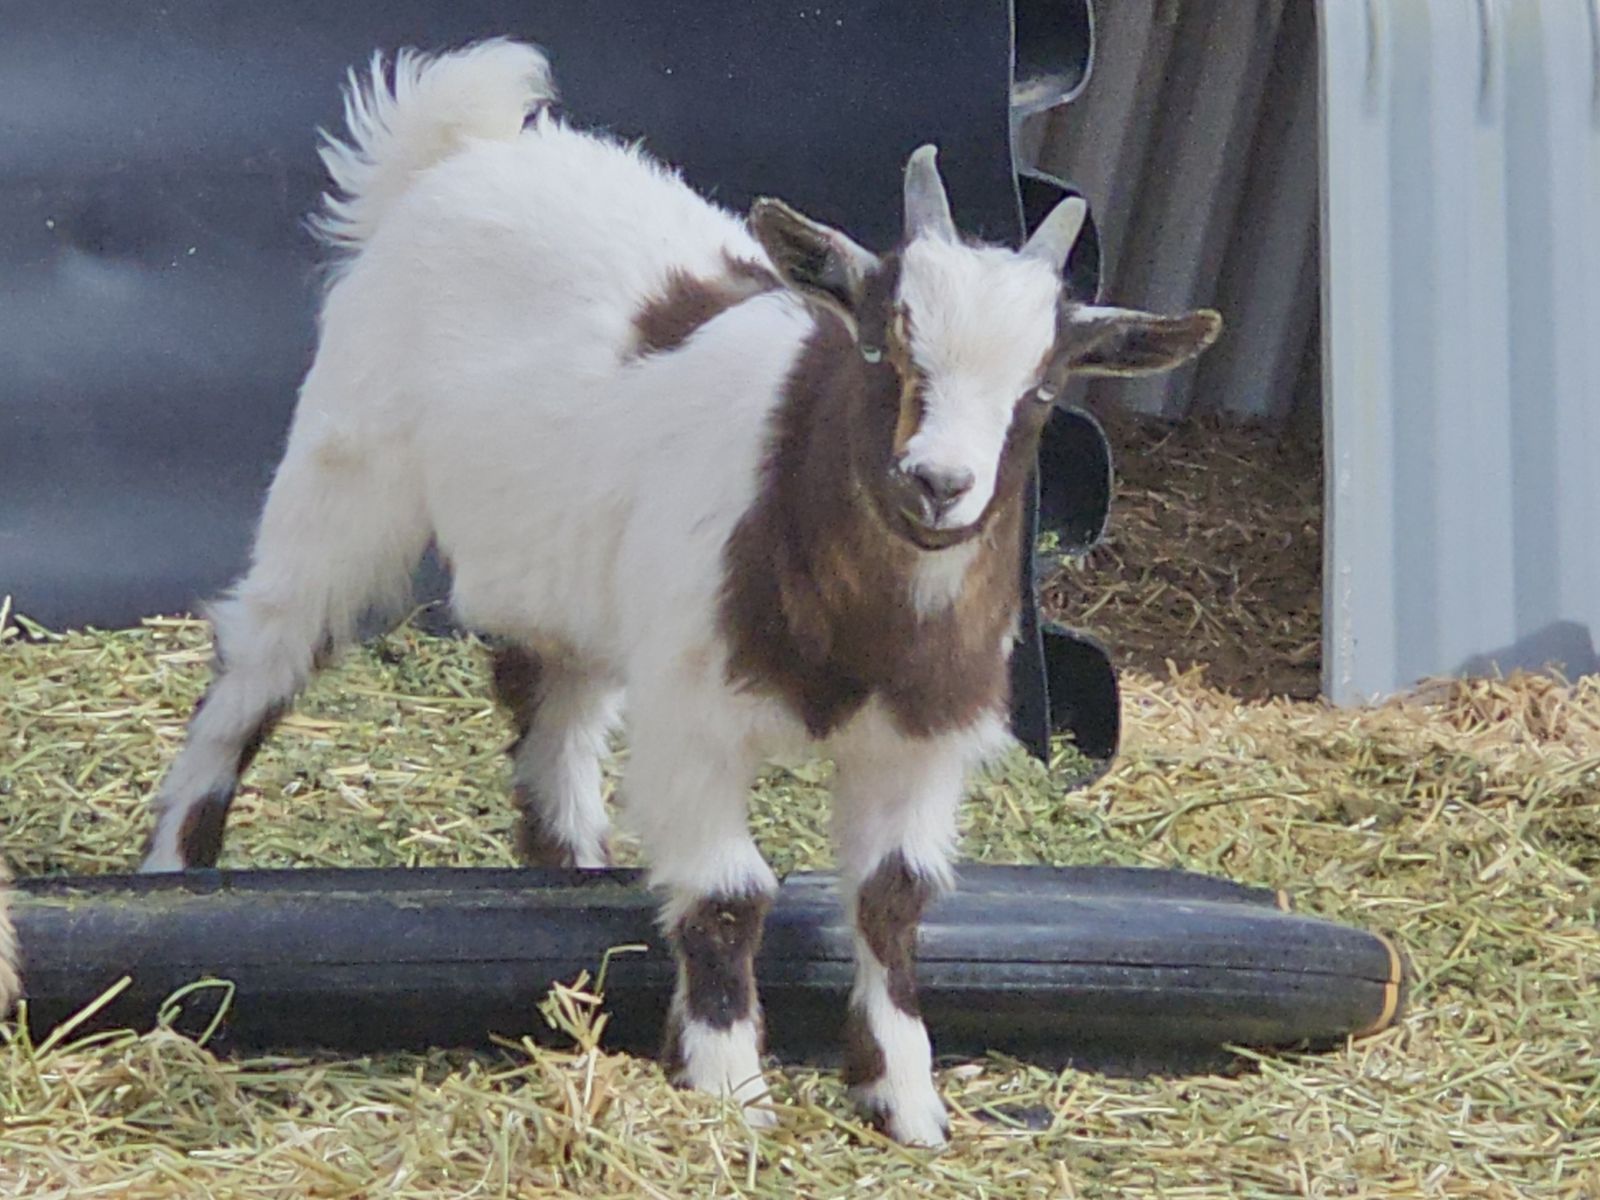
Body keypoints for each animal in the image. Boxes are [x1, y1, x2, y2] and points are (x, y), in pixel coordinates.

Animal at [137, 39, 1220, 1144]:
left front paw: (906, 1099)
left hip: (568, 581)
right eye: (882, 342)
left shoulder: (918, 745)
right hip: (344, 479)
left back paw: (573, 881)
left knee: (551, 720)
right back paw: (178, 871)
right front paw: (732, 1085)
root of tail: (461, 151)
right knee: (259, 661)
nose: (938, 482)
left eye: (1042, 387)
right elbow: (730, 893)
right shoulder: (697, 715)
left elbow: (893, 900)